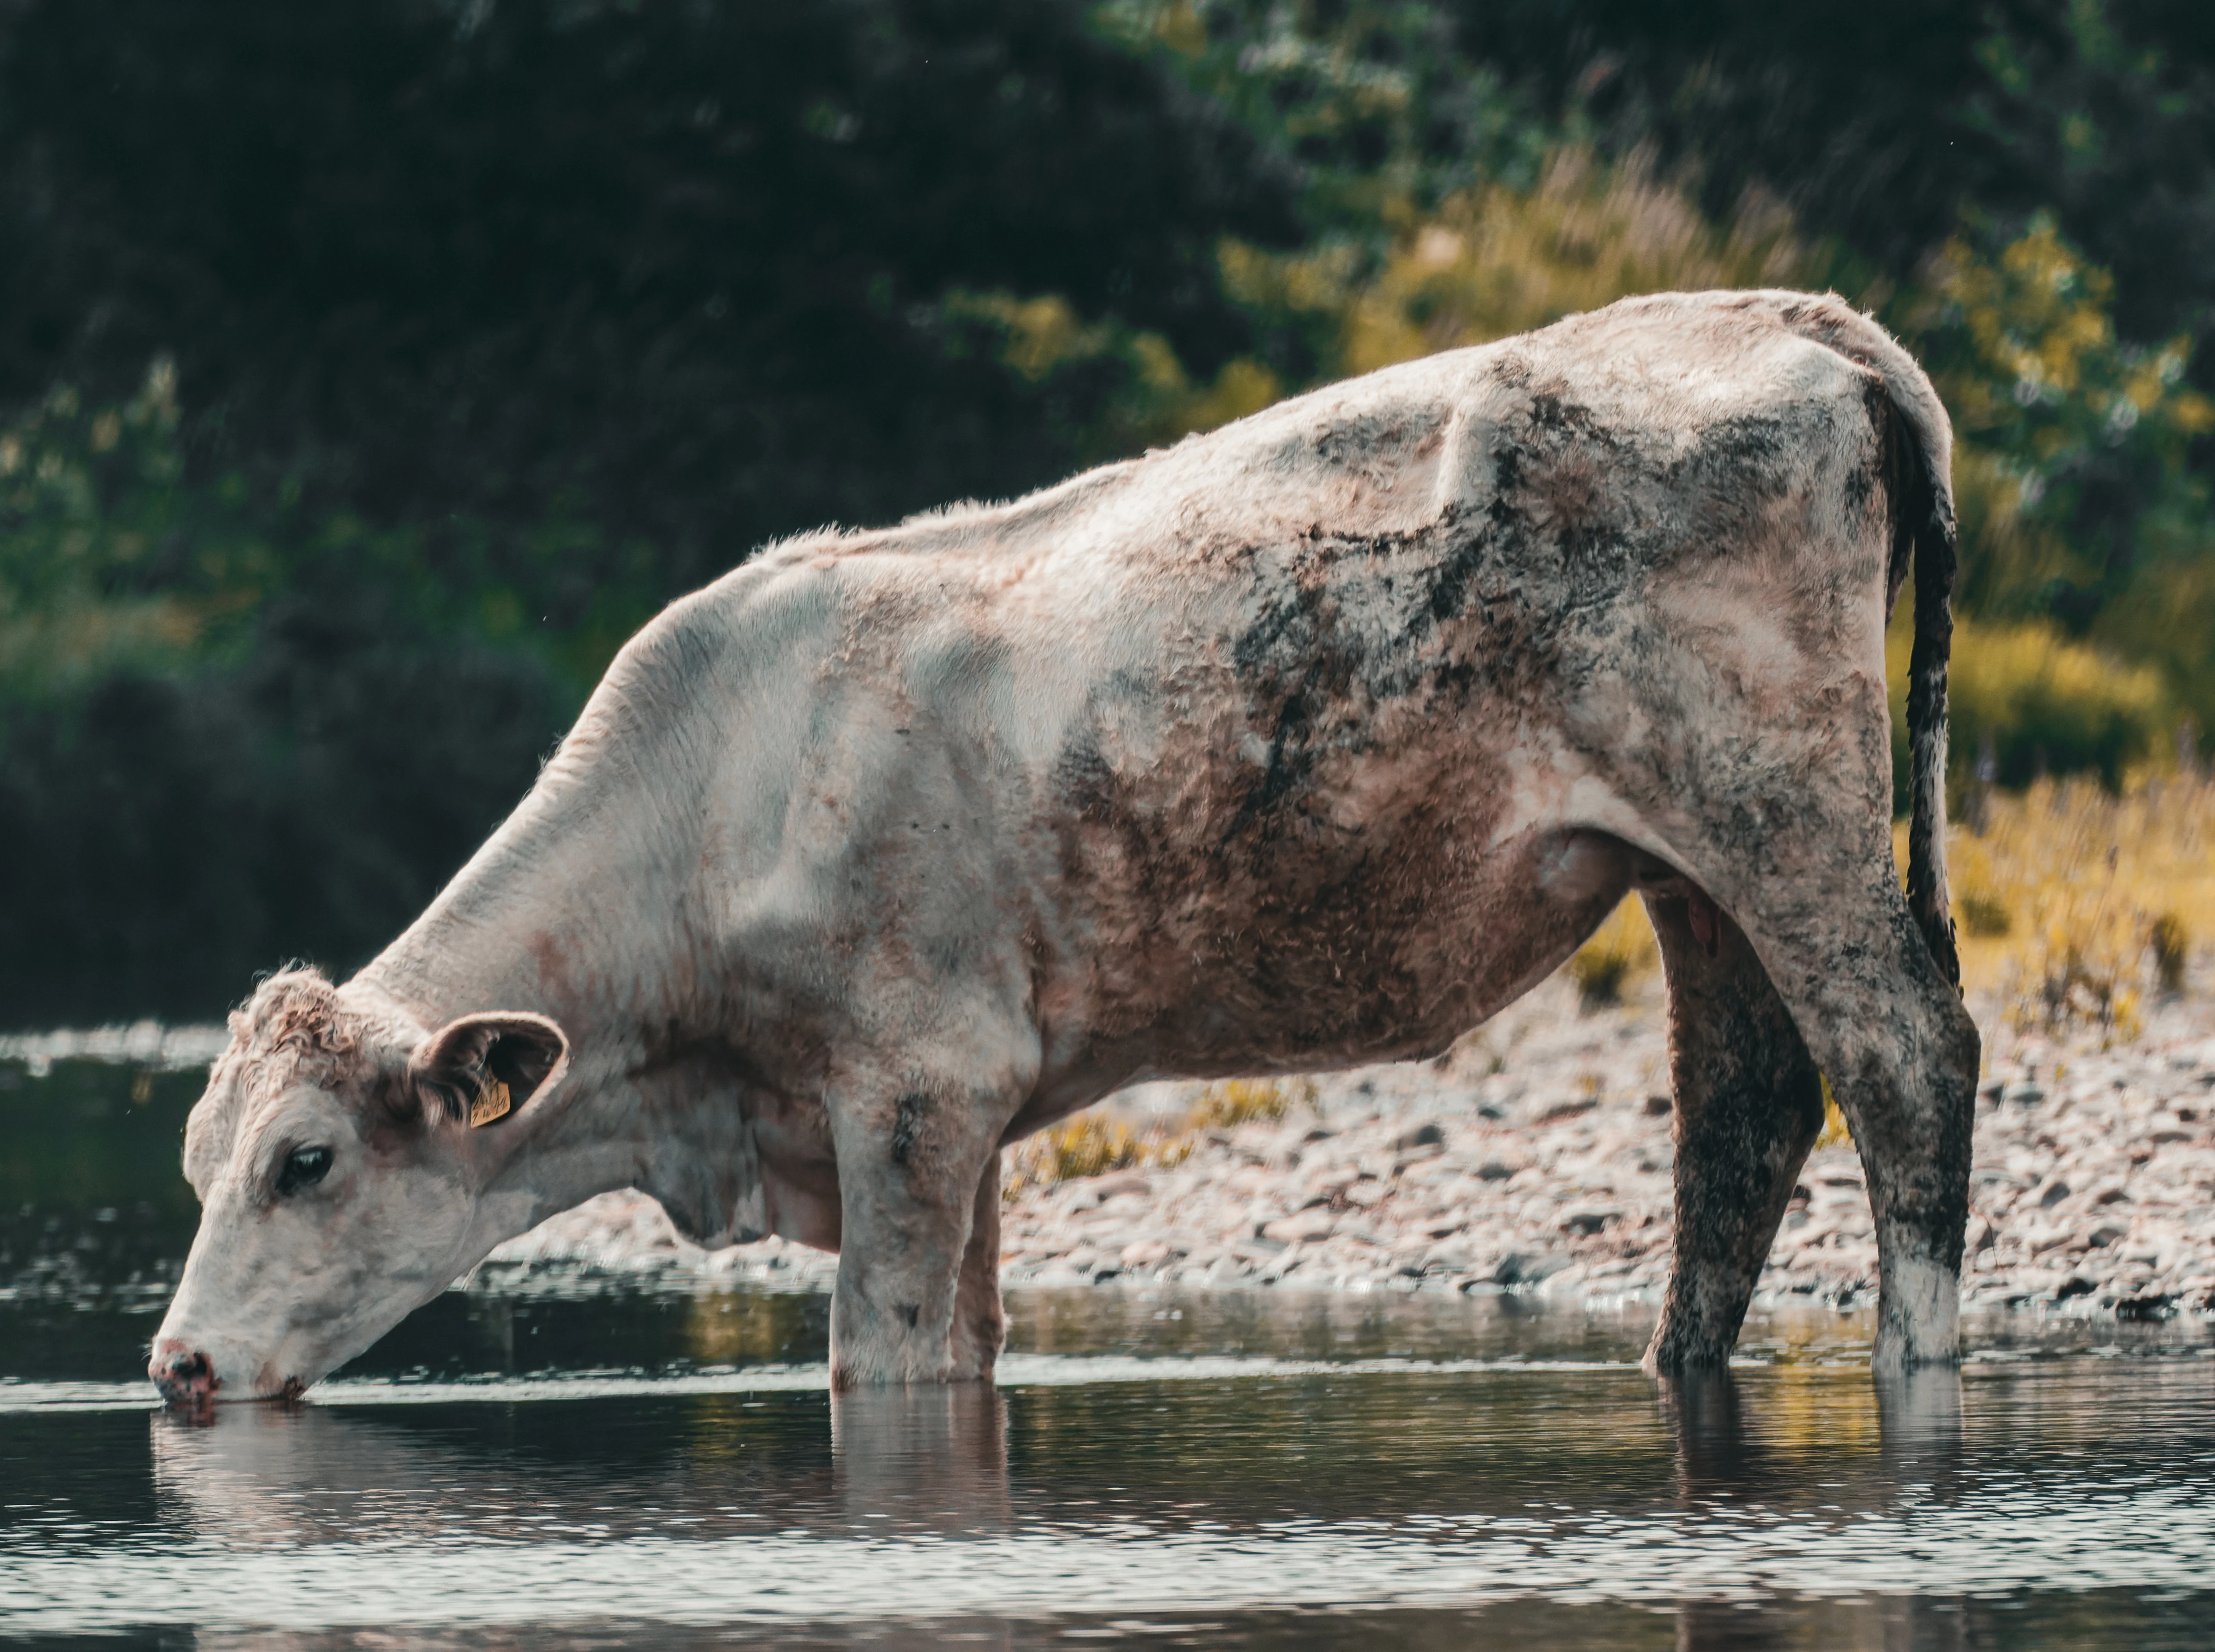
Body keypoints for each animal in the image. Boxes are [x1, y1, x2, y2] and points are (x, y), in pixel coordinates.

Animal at [150, 289, 1979, 1402]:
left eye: (304, 1159)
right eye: (193, 1155)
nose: (174, 1365)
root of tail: (1794, 316)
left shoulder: (914, 1086)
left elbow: (878, 1361)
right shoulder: (955, 1114)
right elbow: (964, 1343)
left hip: (1774, 801)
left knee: (1903, 1057)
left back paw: (1917, 1363)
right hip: (1687, 858)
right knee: (1744, 1103)